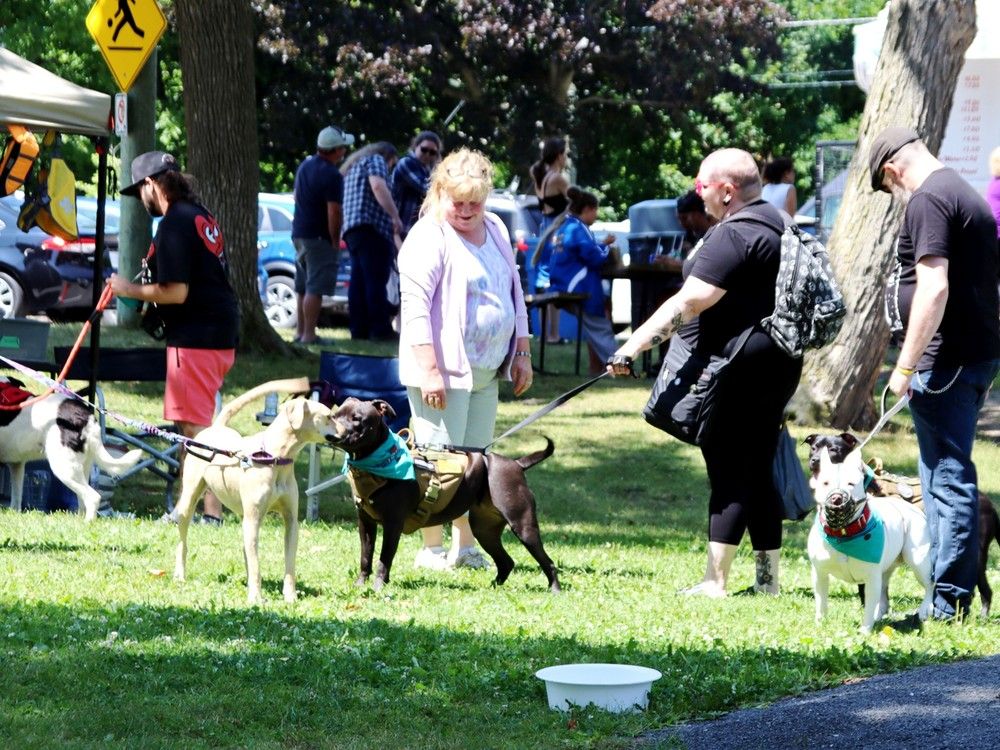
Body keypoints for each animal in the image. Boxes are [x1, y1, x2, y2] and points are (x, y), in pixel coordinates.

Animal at [0, 376, 143, 524]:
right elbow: (16, 498)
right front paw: (14, 514)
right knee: (82, 500)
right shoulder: (16, 464)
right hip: (82, 467)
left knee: (93, 497)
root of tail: (86, 418)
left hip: (64, 467)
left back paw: (87, 523)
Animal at [174, 378, 338, 608]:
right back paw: (180, 574)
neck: (276, 458)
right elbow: (256, 565)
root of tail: (217, 427)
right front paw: (256, 597)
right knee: (183, 541)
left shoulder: (291, 520)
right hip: (189, 501)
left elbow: (289, 563)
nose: (350, 430)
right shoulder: (252, 518)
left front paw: (290, 596)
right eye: (329, 416)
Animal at [800, 434, 932, 636]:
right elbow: (821, 602)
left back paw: (925, 609)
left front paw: (865, 630)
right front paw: (820, 623)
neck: (844, 533)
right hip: (887, 568)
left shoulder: (871, 579)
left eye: (851, 484)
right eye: (825, 483)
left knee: (929, 584)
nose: (836, 497)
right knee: (884, 594)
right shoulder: (819, 573)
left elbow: (869, 605)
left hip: (918, 559)